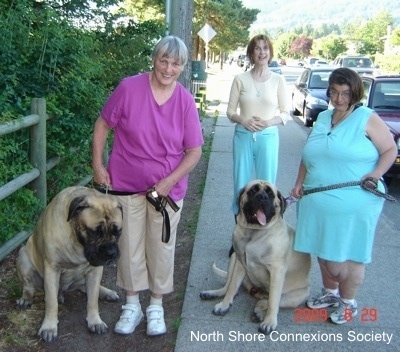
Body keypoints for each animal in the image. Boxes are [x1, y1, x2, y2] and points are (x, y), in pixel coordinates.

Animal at [15, 186, 122, 342]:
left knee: (88, 289)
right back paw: (25, 299)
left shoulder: (95, 271)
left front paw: (95, 321)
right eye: (95, 232)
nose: (111, 252)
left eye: (118, 231)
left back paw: (107, 292)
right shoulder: (52, 268)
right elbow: (51, 302)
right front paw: (49, 327)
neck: (77, 243)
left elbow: (92, 299)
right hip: (23, 258)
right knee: (29, 287)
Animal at [202, 180, 310, 334]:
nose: (262, 197)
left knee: (268, 301)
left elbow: (273, 301)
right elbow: (232, 287)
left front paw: (269, 322)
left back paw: (259, 312)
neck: (254, 233)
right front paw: (224, 305)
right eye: (253, 191)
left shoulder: (277, 271)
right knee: (228, 286)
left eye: (270, 194)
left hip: (296, 296)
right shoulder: (240, 262)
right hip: (233, 258)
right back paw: (213, 294)